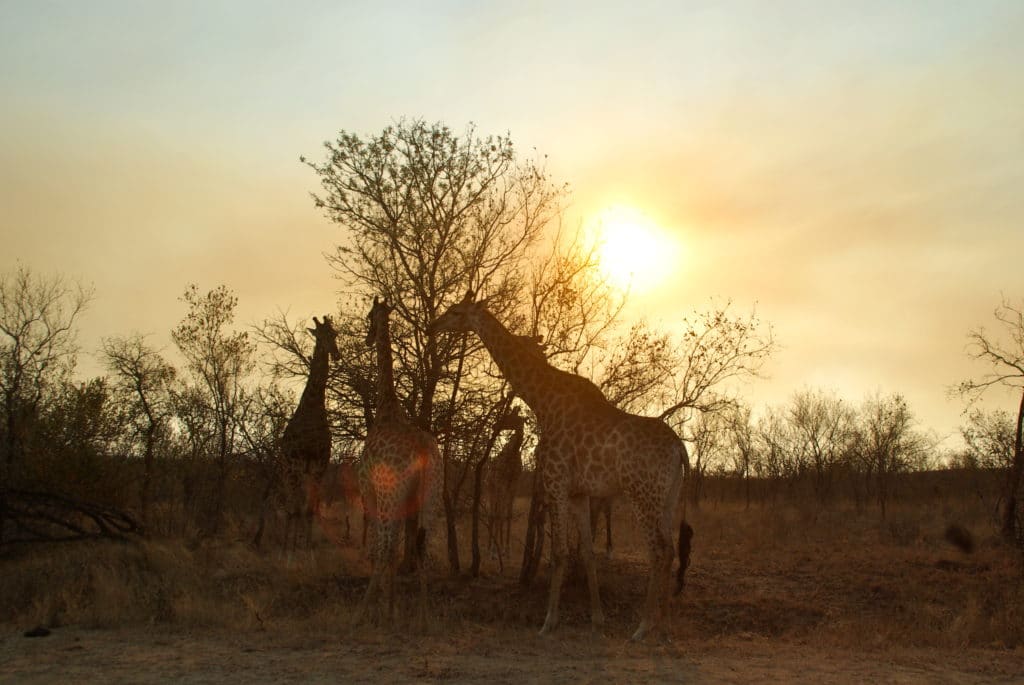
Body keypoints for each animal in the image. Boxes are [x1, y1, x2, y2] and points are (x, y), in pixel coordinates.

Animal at [276, 315, 339, 557]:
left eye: (335, 334)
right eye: (319, 335)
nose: (336, 353)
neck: (313, 406)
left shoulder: (319, 464)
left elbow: (310, 510)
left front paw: (307, 552)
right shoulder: (296, 463)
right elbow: (295, 510)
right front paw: (290, 554)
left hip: (303, 472)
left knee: (299, 506)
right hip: (287, 470)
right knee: (289, 506)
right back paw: (286, 546)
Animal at [354, 296, 442, 626]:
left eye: (370, 315)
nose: (367, 337)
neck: (386, 409)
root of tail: (423, 450)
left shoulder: (368, 492)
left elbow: (382, 549)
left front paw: (384, 611)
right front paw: (392, 610)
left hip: (389, 494)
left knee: (385, 548)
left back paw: (359, 614)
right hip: (431, 495)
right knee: (421, 546)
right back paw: (426, 618)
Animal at [436, 292, 692, 643]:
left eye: (455, 311)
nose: (434, 326)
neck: (543, 402)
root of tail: (679, 448)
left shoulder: (555, 483)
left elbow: (558, 552)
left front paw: (549, 621)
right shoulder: (578, 493)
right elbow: (585, 552)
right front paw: (597, 619)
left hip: (643, 494)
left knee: (660, 550)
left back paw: (642, 628)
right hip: (668, 497)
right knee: (670, 551)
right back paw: (664, 627)